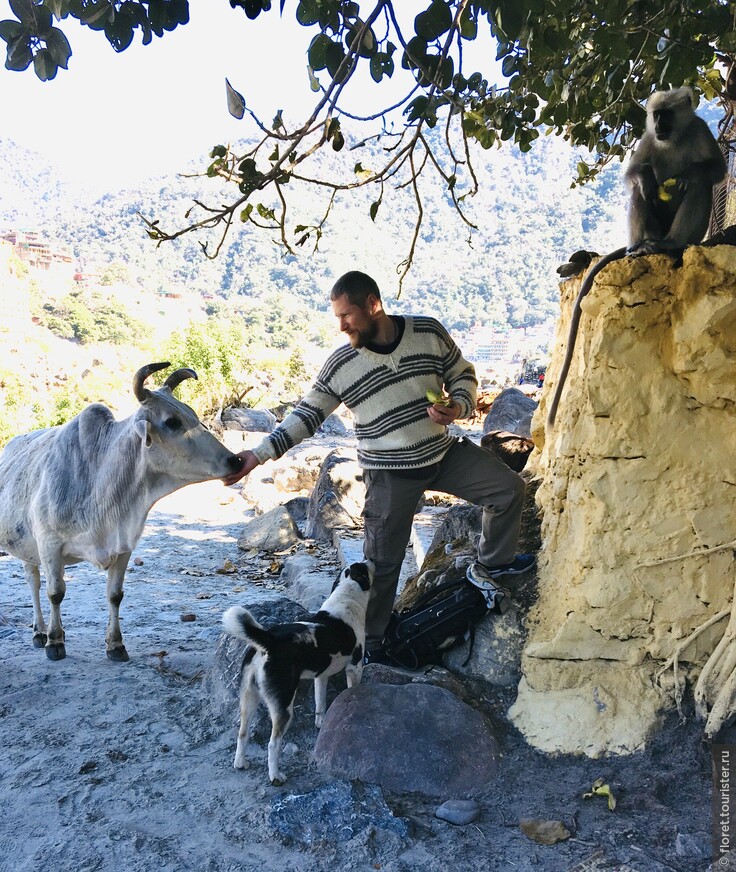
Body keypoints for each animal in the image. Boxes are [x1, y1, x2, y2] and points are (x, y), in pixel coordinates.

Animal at [0, 362, 244, 660]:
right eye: (172, 421)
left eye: (192, 414)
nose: (235, 460)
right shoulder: (49, 544)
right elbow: (55, 593)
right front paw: (54, 642)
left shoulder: (124, 545)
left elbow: (115, 595)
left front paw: (115, 644)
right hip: (28, 547)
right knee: (34, 584)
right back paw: (40, 632)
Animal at [220, 564, 370, 788]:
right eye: (365, 567)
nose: (369, 560)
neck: (346, 596)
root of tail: (270, 641)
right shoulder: (355, 667)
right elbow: (352, 689)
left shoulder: (321, 676)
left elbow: (320, 704)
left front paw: (320, 724)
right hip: (283, 707)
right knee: (273, 744)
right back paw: (275, 776)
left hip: (248, 698)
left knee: (242, 733)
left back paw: (240, 763)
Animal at [548, 87, 724, 428]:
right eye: (656, 115)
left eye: (667, 114)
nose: (659, 125)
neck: (673, 138)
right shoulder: (647, 138)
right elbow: (633, 173)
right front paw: (644, 177)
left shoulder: (699, 130)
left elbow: (715, 169)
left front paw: (688, 173)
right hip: (649, 225)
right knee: (639, 193)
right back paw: (642, 245)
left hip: (690, 233)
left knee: (699, 186)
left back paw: (671, 245)